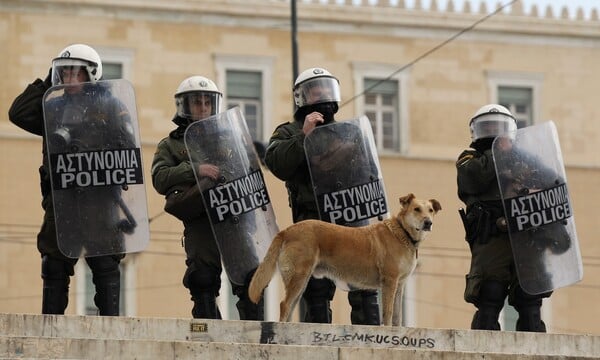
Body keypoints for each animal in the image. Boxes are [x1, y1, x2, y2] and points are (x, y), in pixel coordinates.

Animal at [248, 194, 440, 326]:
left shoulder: (400, 285)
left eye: (430, 210)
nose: (428, 223)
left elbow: (397, 316)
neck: (403, 232)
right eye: (416, 209)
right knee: (284, 304)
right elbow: (388, 312)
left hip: (300, 281)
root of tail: (287, 230)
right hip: (299, 276)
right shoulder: (389, 282)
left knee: (289, 306)